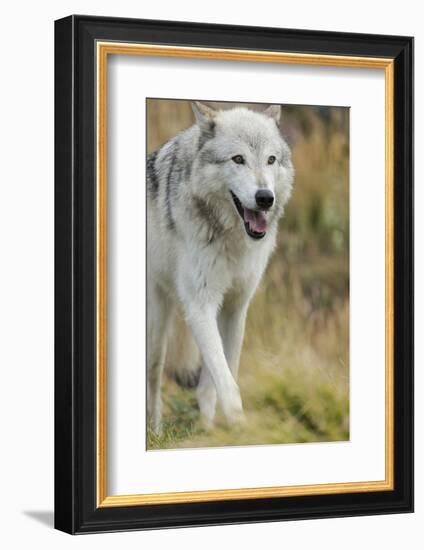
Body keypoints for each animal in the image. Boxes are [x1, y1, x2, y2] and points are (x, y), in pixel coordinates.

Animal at [147, 101, 294, 434]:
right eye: (238, 159)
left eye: (271, 160)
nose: (265, 198)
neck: (231, 240)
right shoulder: (200, 306)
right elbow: (227, 383)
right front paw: (240, 428)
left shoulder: (235, 307)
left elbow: (217, 378)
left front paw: (209, 430)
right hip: (157, 326)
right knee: (153, 376)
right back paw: (155, 432)